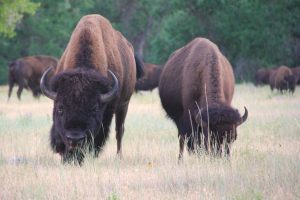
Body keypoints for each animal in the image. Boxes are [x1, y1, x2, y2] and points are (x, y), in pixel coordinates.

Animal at [40, 14, 144, 164]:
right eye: (60, 108)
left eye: (94, 109)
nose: (75, 138)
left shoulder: (108, 111)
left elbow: (101, 134)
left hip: (124, 105)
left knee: (119, 131)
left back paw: (119, 156)